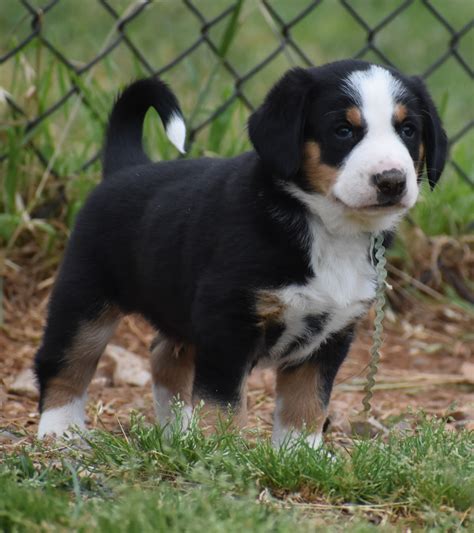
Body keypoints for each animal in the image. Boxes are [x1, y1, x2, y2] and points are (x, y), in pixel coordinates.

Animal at [35, 60, 446, 446]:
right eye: (343, 131)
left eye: (408, 130)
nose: (391, 180)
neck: (328, 229)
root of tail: (127, 168)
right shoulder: (227, 323)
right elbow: (223, 403)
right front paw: (221, 450)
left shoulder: (330, 335)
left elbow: (307, 404)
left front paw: (299, 454)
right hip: (85, 297)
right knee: (65, 362)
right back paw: (60, 430)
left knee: (164, 355)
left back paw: (177, 434)